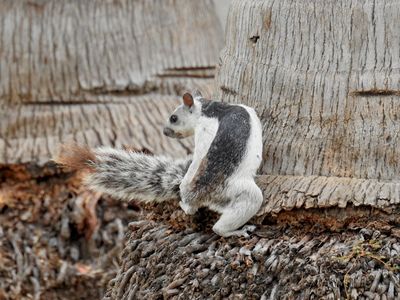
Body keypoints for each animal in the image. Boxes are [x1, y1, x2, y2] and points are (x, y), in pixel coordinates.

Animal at [55, 91, 262, 237]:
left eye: (173, 118)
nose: (164, 132)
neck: (210, 111)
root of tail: (201, 197)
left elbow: (199, 155)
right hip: (238, 191)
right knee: (234, 213)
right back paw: (231, 231)